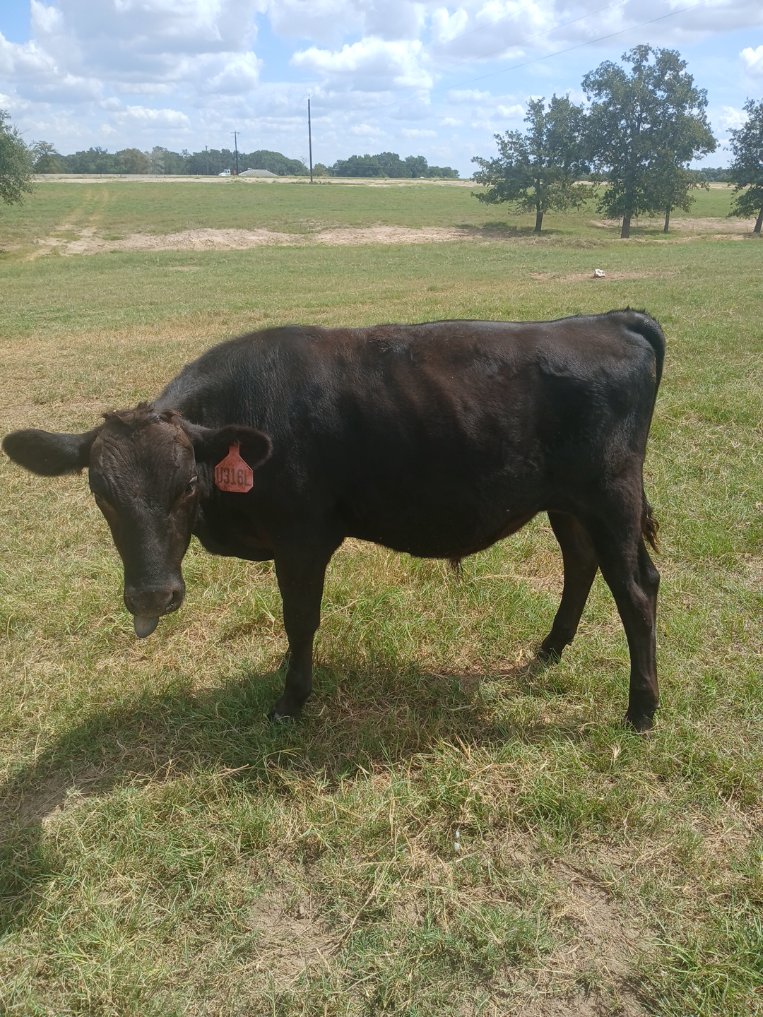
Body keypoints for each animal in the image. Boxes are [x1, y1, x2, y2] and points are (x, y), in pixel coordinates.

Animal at [2, 309, 667, 732]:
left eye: (187, 483)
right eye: (101, 495)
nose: (151, 596)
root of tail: (611, 318)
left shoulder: (301, 539)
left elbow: (300, 620)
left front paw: (290, 702)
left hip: (610, 496)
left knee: (636, 589)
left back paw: (641, 709)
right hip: (568, 504)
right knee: (584, 566)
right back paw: (550, 650)